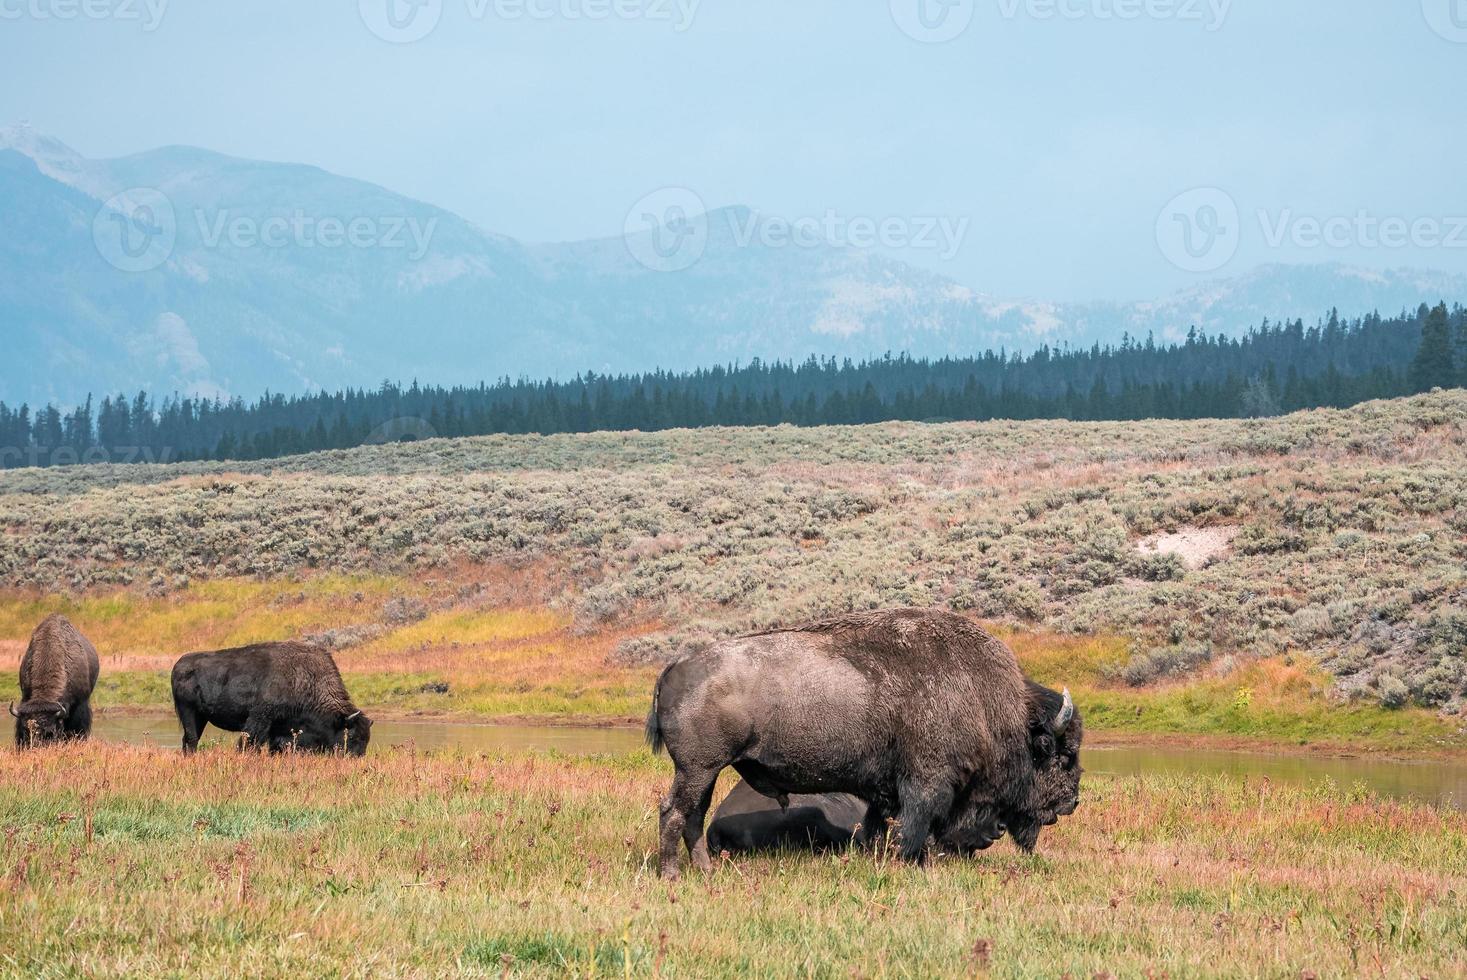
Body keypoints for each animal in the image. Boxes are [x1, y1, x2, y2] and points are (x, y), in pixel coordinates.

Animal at [169, 642, 372, 757]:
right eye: (351, 735)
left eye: (367, 739)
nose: (356, 757)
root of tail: (179, 664)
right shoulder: (260, 719)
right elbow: (250, 742)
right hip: (188, 712)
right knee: (192, 738)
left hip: (201, 717)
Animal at [648, 604, 1085, 880]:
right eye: (1060, 753)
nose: (1071, 802)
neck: (989, 701)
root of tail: (678, 664)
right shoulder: (926, 785)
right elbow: (914, 826)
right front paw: (910, 862)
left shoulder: (885, 792)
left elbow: (880, 827)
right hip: (698, 768)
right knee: (674, 812)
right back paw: (672, 875)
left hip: (704, 772)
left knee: (693, 816)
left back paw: (705, 871)